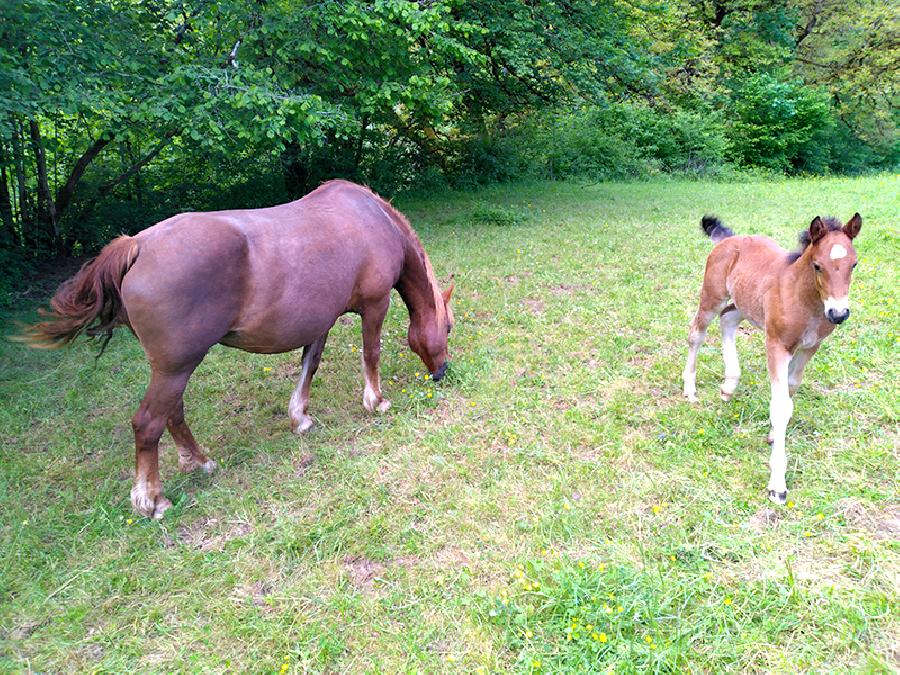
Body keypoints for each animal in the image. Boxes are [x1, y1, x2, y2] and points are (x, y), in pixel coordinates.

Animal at [21, 180, 454, 519]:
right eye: (448, 327)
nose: (441, 372)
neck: (373, 219)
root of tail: (138, 245)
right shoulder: (375, 305)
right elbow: (371, 354)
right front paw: (376, 401)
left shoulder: (321, 320)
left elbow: (309, 365)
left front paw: (300, 417)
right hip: (177, 366)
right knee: (148, 423)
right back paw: (152, 500)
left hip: (171, 367)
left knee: (173, 414)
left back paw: (200, 462)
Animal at [682, 213, 861, 504]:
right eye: (817, 266)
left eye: (854, 264)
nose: (838, 313)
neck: (805, 301)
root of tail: (728, 239)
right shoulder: (777, 345)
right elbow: (780, 406)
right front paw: (777, 484)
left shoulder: (810, 347)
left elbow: (790, 391)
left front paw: (773, 435)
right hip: (712, 296)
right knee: (696, 333)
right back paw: (690, 388)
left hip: (744, 303)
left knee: (728, 320)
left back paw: (729, 385)